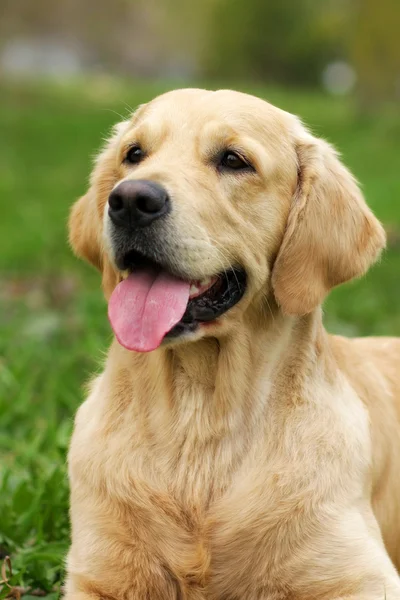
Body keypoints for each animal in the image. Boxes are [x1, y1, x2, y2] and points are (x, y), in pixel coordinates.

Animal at [65, 86, 400, 596]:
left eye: (233, 160)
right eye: (134, 154)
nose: (130, 200)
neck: (200, 417)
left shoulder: (363, 576)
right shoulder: (97, 572)